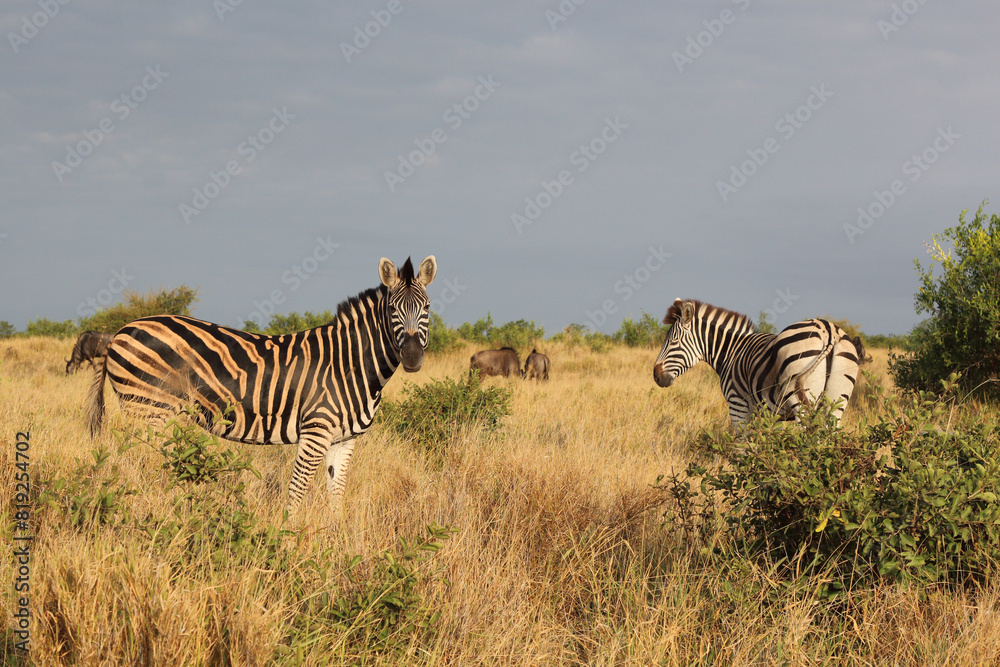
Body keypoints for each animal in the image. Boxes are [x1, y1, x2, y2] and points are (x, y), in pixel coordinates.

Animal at [86, 255, 436, 516]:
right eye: (391, 309)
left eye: (427, 307)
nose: (412, 356)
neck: (350, 364)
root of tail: (119, 331)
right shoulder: (315, 431)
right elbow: (297, 493)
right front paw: (289, 543)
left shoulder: (345, 439)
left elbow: (336, 495)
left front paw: (338, 544)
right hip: (147, 408)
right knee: (136, 465)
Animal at [652, 298, 865, 426]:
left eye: (673, 342)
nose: (656, 376)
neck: (732, 351)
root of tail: (828, 330)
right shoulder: (771, 413)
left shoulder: (737, 404)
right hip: (837, 401)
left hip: (799, 396)